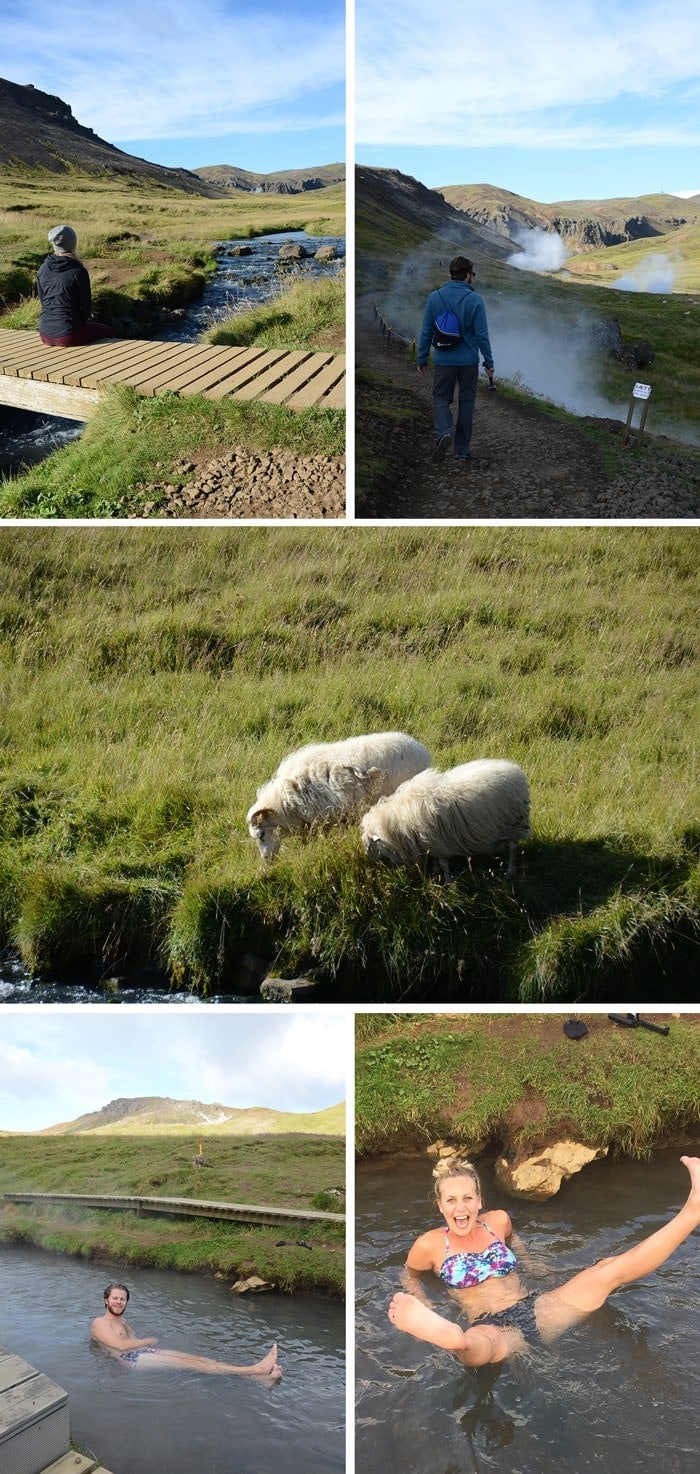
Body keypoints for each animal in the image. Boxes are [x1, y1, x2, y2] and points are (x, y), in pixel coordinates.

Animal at [361, 760, 530, 872]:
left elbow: (443, 863)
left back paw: (509, 872)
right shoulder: (431, 842)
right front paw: (436, 874)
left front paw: (447, 882)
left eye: (369, 845)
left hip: (515, 825)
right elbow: (436, 861)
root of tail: (517, 771)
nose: (371, 862)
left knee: (513, 849)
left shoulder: (438, 840)